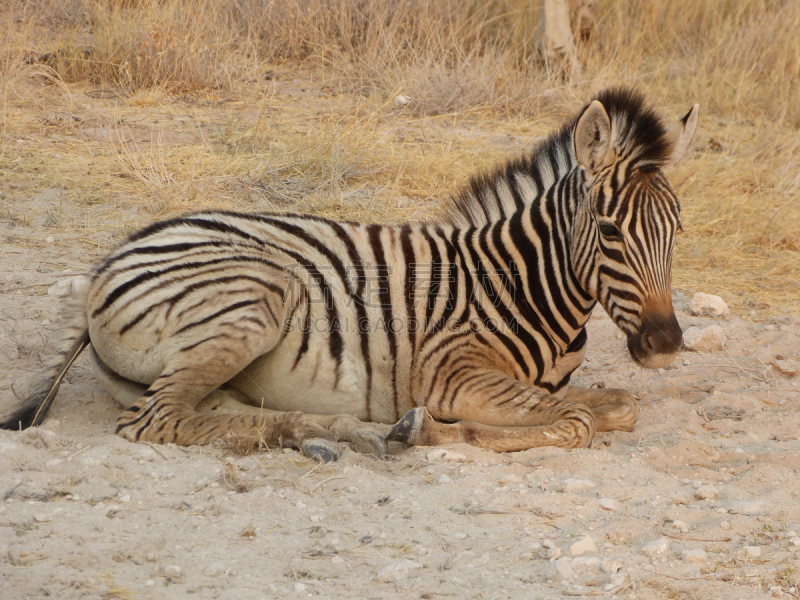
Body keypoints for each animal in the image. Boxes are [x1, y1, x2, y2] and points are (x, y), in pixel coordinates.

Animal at [0, 86, 696, 462]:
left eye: (677, 232)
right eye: (609, 232)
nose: (666, 345)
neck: (521, 281)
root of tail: (111, 258)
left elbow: (618, 405)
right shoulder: (449, 372)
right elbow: (577, 421)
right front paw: (428, 430)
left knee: (206, 410)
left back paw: (334, 432)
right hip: (255, 295)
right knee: (155, 421)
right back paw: (352, 432)